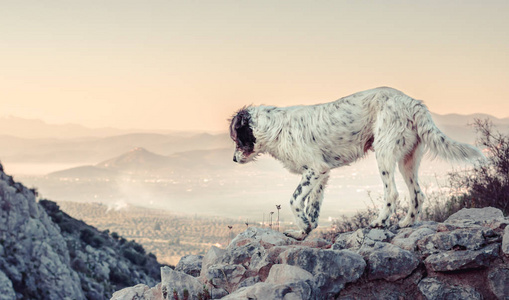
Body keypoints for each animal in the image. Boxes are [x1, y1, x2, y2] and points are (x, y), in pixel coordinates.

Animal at [228, 87, 482, 241]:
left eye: (235, 138)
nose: (232, 159)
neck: (274, 127)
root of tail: (412, 102)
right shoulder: (322, 174)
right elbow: (314, 208)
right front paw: (304, 231)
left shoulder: (315, 169)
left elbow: (294, 201)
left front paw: (303, 225)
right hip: (407, 159)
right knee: (417, 194)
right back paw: (405, 223)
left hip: (384, 153)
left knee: (392, 193)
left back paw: (379, 222)